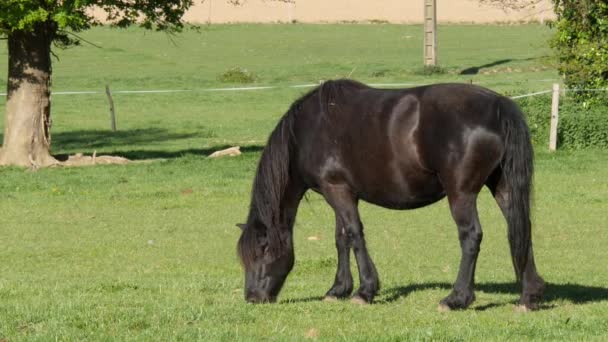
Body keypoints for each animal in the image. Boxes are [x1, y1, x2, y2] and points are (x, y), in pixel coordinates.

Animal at [236, 79, 548, 310]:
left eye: (263, 250)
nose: (252, 297)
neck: (307, 131)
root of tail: (499, 105)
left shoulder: (337, 190)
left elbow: (354, 234)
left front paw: (365, 291)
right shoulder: (340, 191)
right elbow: (341, 239)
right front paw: (338, 289)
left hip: (461, 194)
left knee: (471, 236)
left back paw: (456, 298)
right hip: (503, 187)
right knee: (521, 228)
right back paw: (528, 297)